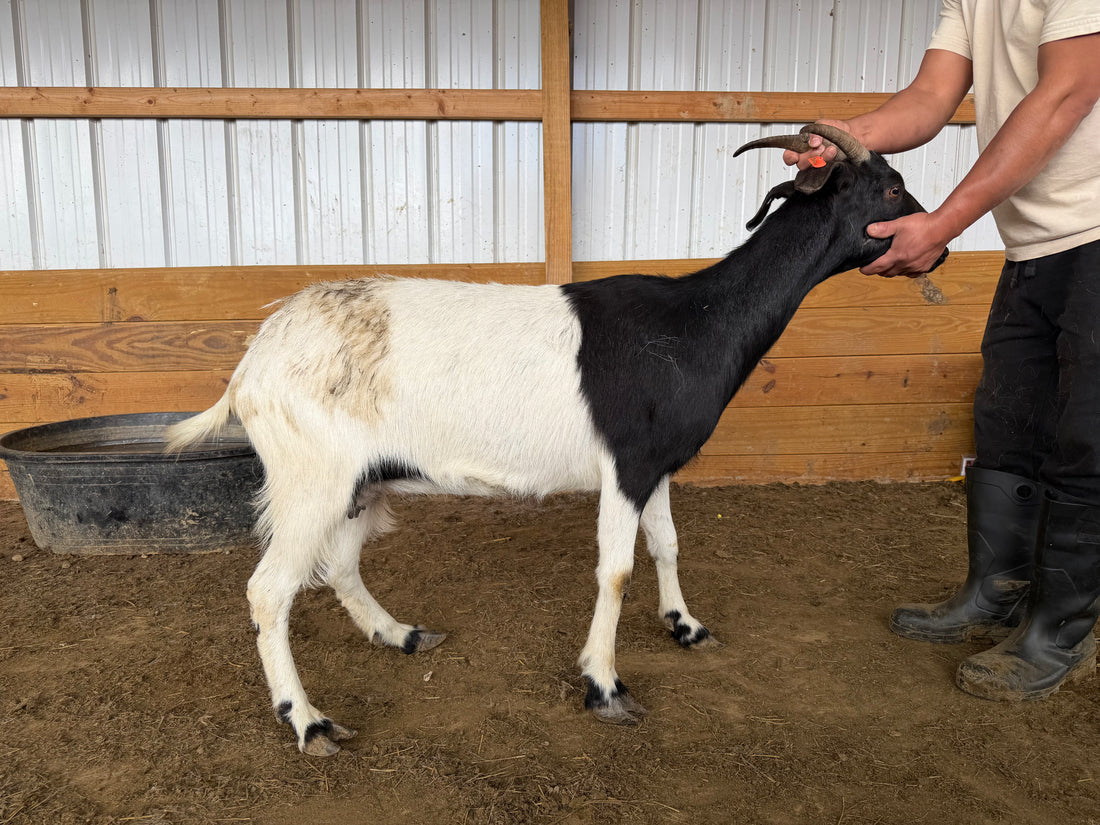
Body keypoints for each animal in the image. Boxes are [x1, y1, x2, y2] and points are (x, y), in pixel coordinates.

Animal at [166, 124, 947, 756]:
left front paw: (685, 626)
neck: (693, 320)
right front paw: (605, 686)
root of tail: (251, 365)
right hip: (312, 476)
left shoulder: (655, 465)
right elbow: (616, 569)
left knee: (338, 567)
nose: (936, 246)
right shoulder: (625, 465)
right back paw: (309, 721)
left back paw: (402, 634)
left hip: (361, 480)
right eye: (892, 186)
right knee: (270, 589)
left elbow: (667, 544)